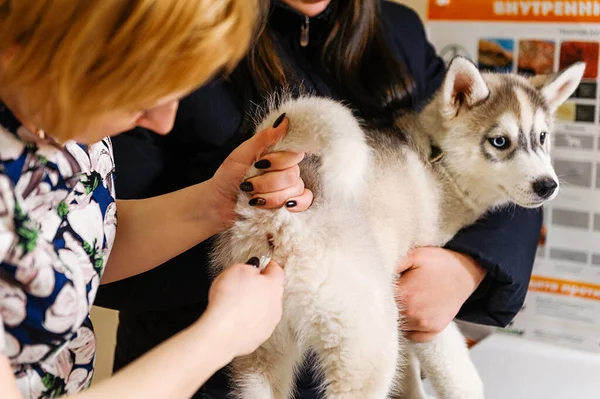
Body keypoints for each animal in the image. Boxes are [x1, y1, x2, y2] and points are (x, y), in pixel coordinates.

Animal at [209, 57, 584, 399]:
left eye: (543, 137)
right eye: (500, 142)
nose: (547, 186)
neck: (438, 160)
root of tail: (281, 217)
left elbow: (410, 376)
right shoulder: (427, 308)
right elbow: (457, 373)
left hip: (259, 347)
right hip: (368, 343)